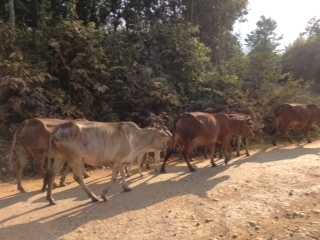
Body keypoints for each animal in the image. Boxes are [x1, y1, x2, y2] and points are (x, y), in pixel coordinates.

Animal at [44, 120, 172, 204]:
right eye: (164, 134)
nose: (170, 139)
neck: (137, 138)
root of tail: (58, 128)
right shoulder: (118, 160)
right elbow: (115, 177)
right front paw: (104, 195)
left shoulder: (122, 161)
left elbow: (123, 175)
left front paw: (126, 188)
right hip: (74, 158)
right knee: (77, 177)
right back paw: (93, 197)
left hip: (60, 157)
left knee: (51, 175)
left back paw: (51, 199)